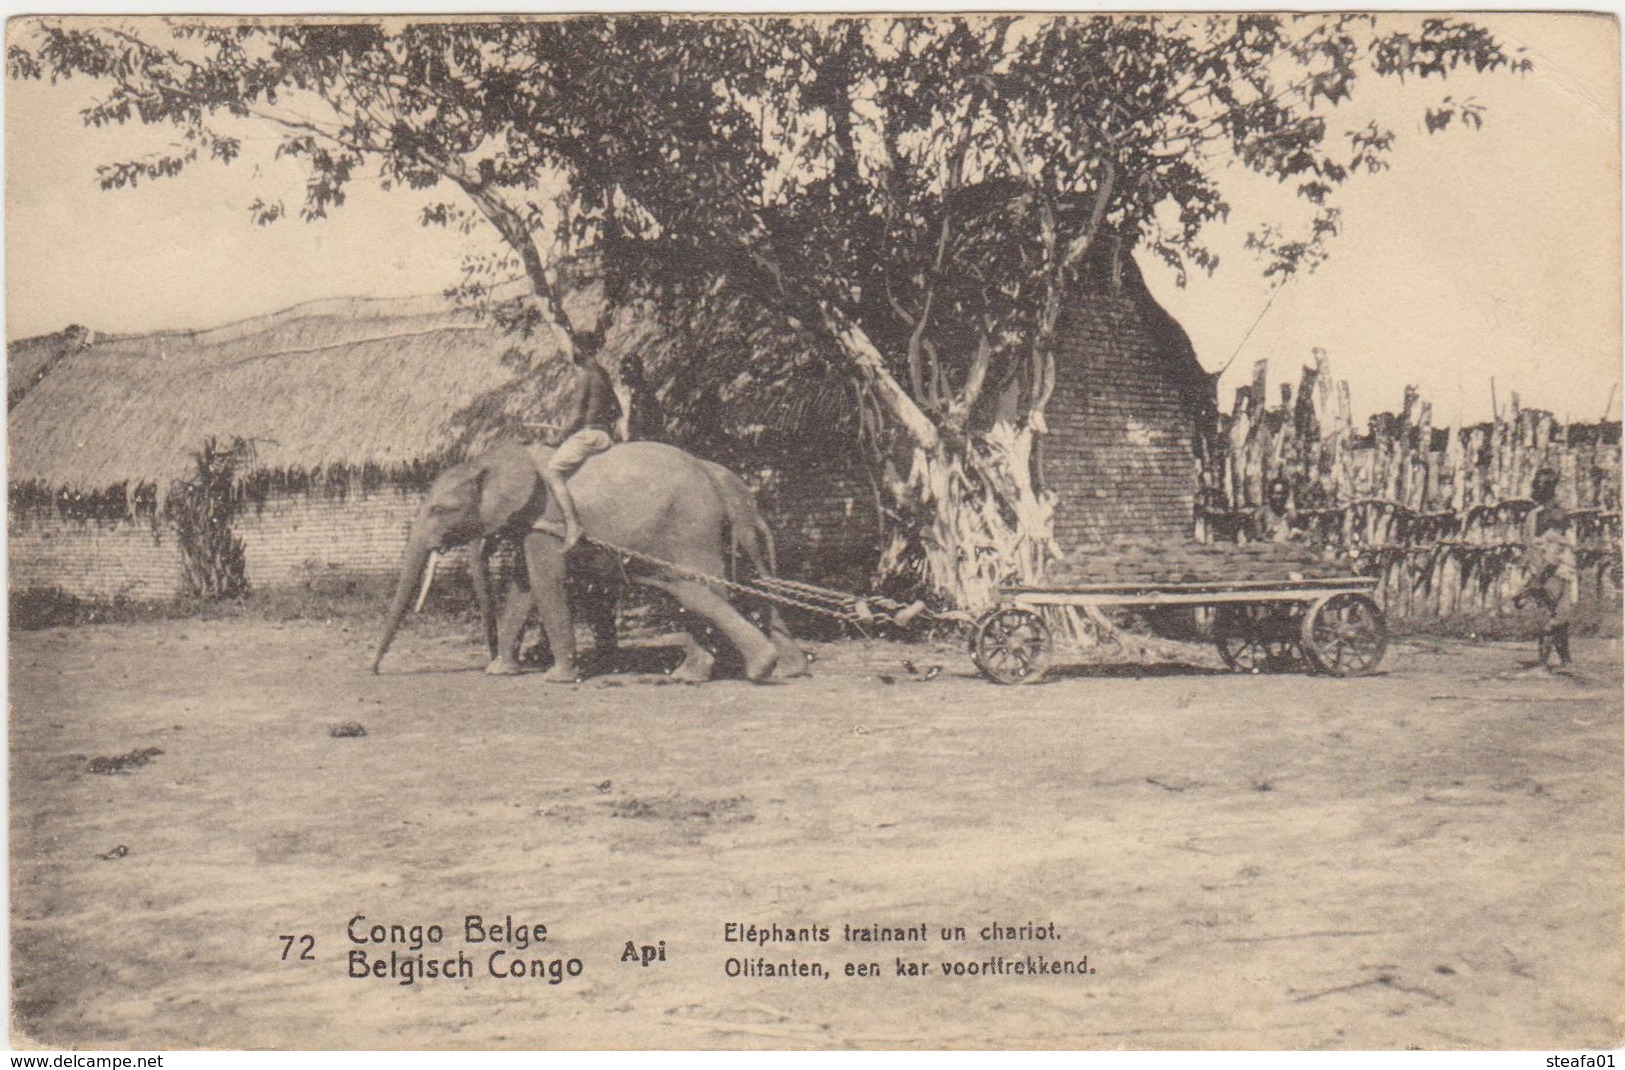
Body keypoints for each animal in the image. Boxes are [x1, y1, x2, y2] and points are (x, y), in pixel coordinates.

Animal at [373, 442, 793, 682]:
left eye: (441, 510)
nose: (373, 670)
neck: (492, 459)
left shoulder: (549, 521)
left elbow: (545, 583)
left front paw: (556, 678)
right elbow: (523, 588)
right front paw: (501, 672)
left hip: (691, 528)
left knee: (703, 589)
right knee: (691, 593)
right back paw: (690, 675)